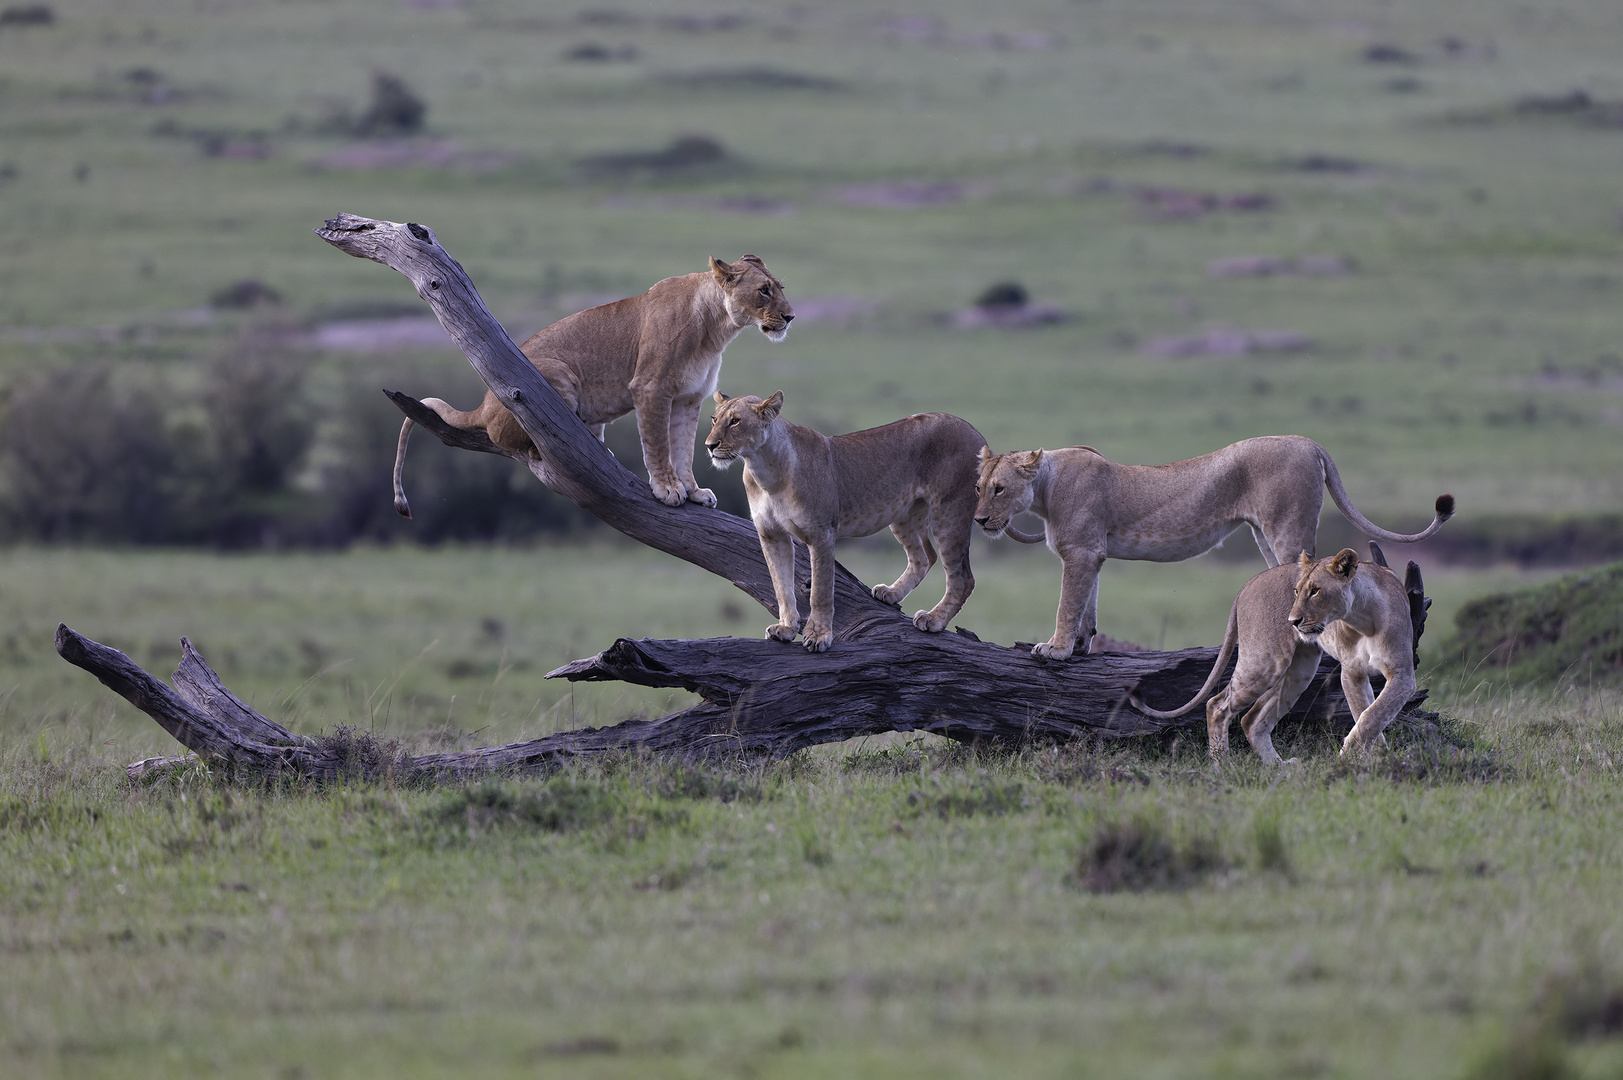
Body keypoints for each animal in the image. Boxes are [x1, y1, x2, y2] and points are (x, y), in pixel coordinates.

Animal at [396, 259, 795, 516]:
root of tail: (481, 405)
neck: (717, 328)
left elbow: (683, 449)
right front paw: (667, 489)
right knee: (530, 442)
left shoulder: (689, 398)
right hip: (556, 375)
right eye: (763, 291)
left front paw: (694, 491)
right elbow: (658, 445)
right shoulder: (651, 388)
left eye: (780, 288)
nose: (790, 316)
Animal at [704, 391, 980, 652]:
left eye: (735, 421)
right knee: (924, 556)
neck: (764, 469)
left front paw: (818, 636)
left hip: (949, 511)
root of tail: (974, 431)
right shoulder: (772, 535)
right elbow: (781, 586)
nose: (709, 445)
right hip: (903, 513)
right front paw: (786, 629)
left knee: (962, 578)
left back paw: (934, 619)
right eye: (714, 419)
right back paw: (891, 593)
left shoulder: (821, 533)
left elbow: (820, 590)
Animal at [967, 435, 1454, 656]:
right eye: (977, 487)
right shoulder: (1092, 553)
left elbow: (1067, 603)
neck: (1045, 488)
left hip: (1285, 525)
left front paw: (1054, 648)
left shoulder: (1080, 553)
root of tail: (1308, 441)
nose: (979, 520)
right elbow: (1087, 602)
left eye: (999, 489)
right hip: (1263, 533)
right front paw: (1083, 646)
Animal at [1129, 552, 1421, 763]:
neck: (1361, 619)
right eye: (1297, 591)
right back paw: (1223, 765)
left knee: (1252, 720)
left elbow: (1371, 716)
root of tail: (1246, 585)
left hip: (1299, 669)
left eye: (1315, 590)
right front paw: (1356, 759)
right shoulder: (1351, 671)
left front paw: (1372, 758)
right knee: (1217, 705)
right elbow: (1366, 715)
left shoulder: (1402, 675)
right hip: (1264, 662)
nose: (1293, 621)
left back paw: (1278, 769)